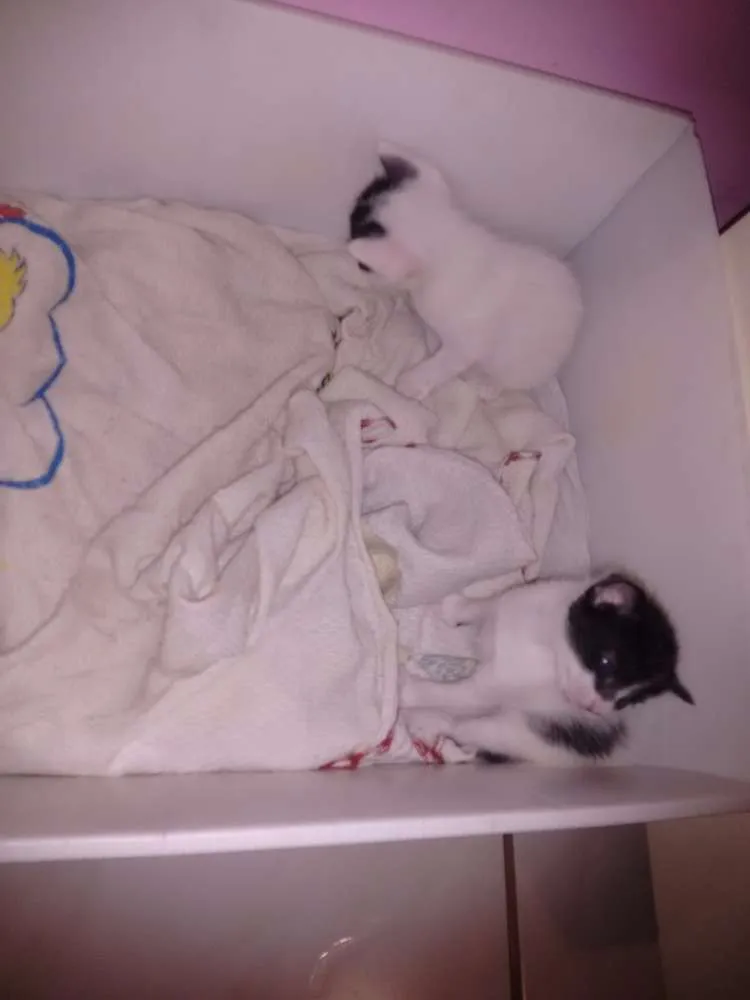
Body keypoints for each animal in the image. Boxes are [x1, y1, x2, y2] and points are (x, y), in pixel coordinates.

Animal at [348, 141, 583, 400]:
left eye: (363, 266)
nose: (357, 269)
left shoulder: (468, 342)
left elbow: (445, 362)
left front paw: (411, 382)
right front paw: (432, 341)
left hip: (519, 363)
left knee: (511, 380)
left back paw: (487, 385)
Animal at [401, 572, 693, 766]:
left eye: (627, 702)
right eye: (606, 663)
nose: (592, 707)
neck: (545, 643)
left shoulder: (491, 687)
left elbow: (455, 693)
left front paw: (407, 690)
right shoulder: (520, 597)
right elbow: (491, 604)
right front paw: (456, 608)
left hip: (536, 734)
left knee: (469, 727)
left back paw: (425, 721)